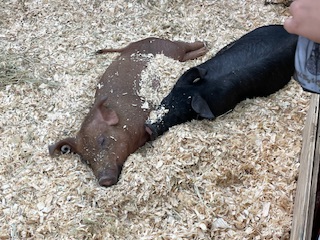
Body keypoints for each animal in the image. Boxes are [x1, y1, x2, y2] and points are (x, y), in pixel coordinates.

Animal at [48, 37, 206, 188]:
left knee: (184, 45)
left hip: (171, 48)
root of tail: (132, 44)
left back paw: (204, 45)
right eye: (85, 159)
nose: (104, 180)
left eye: (103, 140)